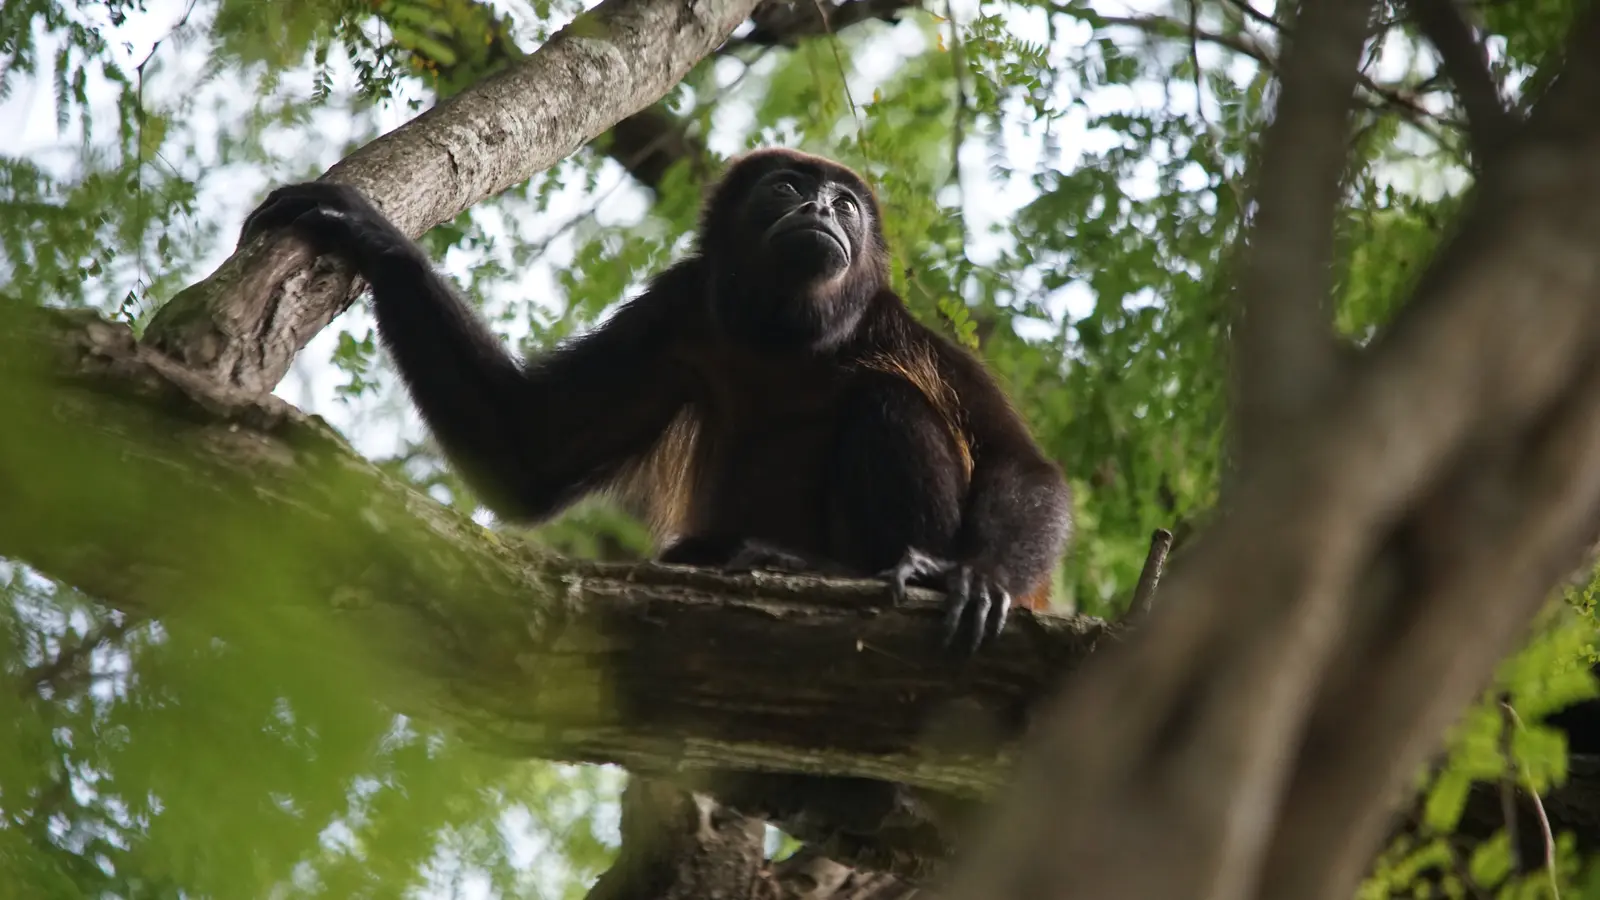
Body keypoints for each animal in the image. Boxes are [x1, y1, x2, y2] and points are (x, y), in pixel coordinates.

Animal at [240, 147, 1073, 655]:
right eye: (787, 188)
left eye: (845, 205)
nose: (821, 212)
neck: (788, 340)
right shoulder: (678, 315)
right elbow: (529, 453)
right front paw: (377, 241)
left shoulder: (898, 328)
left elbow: (1021, 465)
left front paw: (980, 578)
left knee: (889, 401)